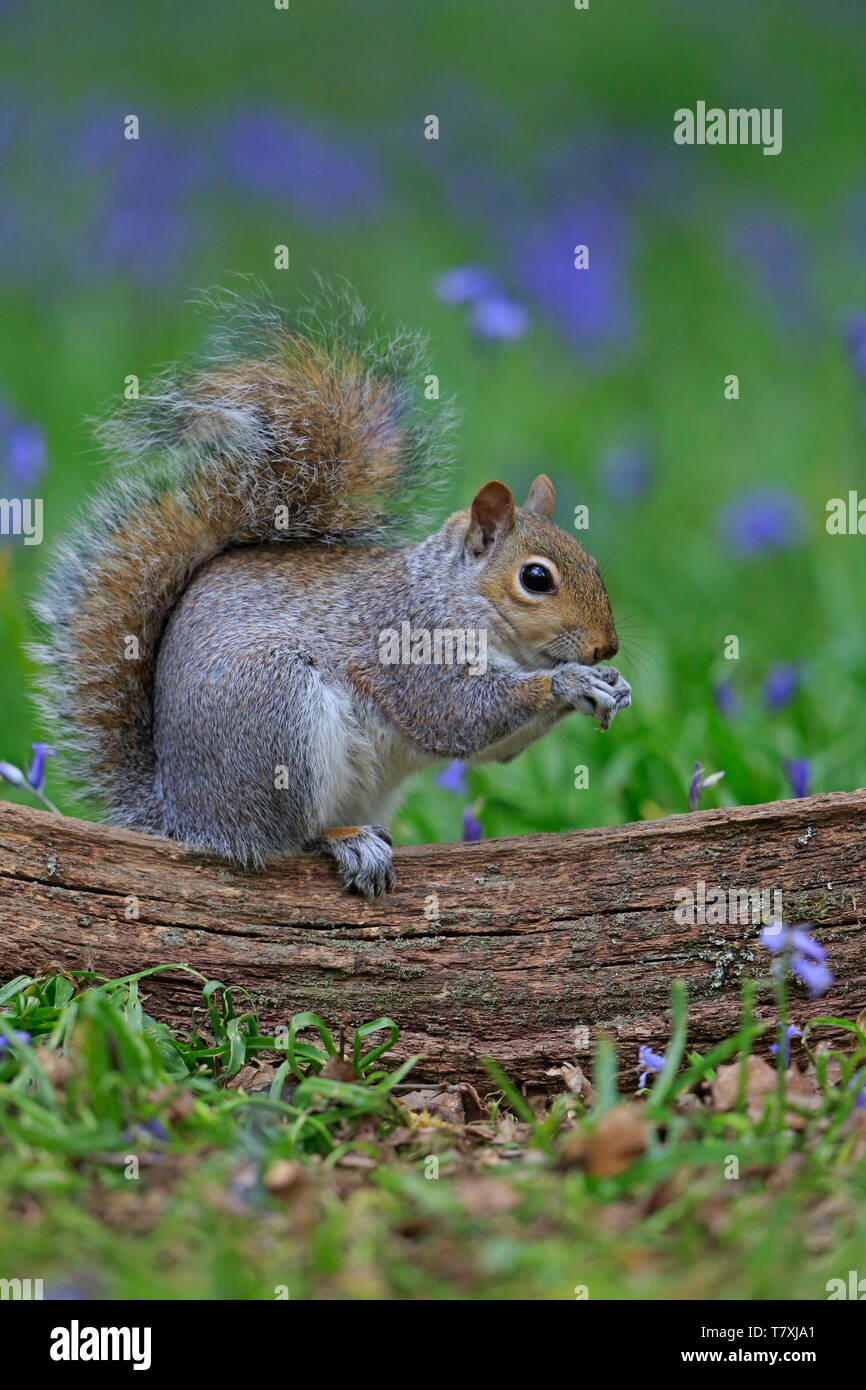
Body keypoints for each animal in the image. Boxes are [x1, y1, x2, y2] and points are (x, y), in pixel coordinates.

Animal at [30, 287, 633, 906]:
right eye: (535, 579)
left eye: (594, 565)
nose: (605, 648)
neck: (458, 596)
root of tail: (186, 814)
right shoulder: (408, 641)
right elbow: (458, 714)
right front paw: (570, 681)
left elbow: (494, 746)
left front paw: (611, 686)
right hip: (275, 708)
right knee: (281, 838)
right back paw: (344, 840)